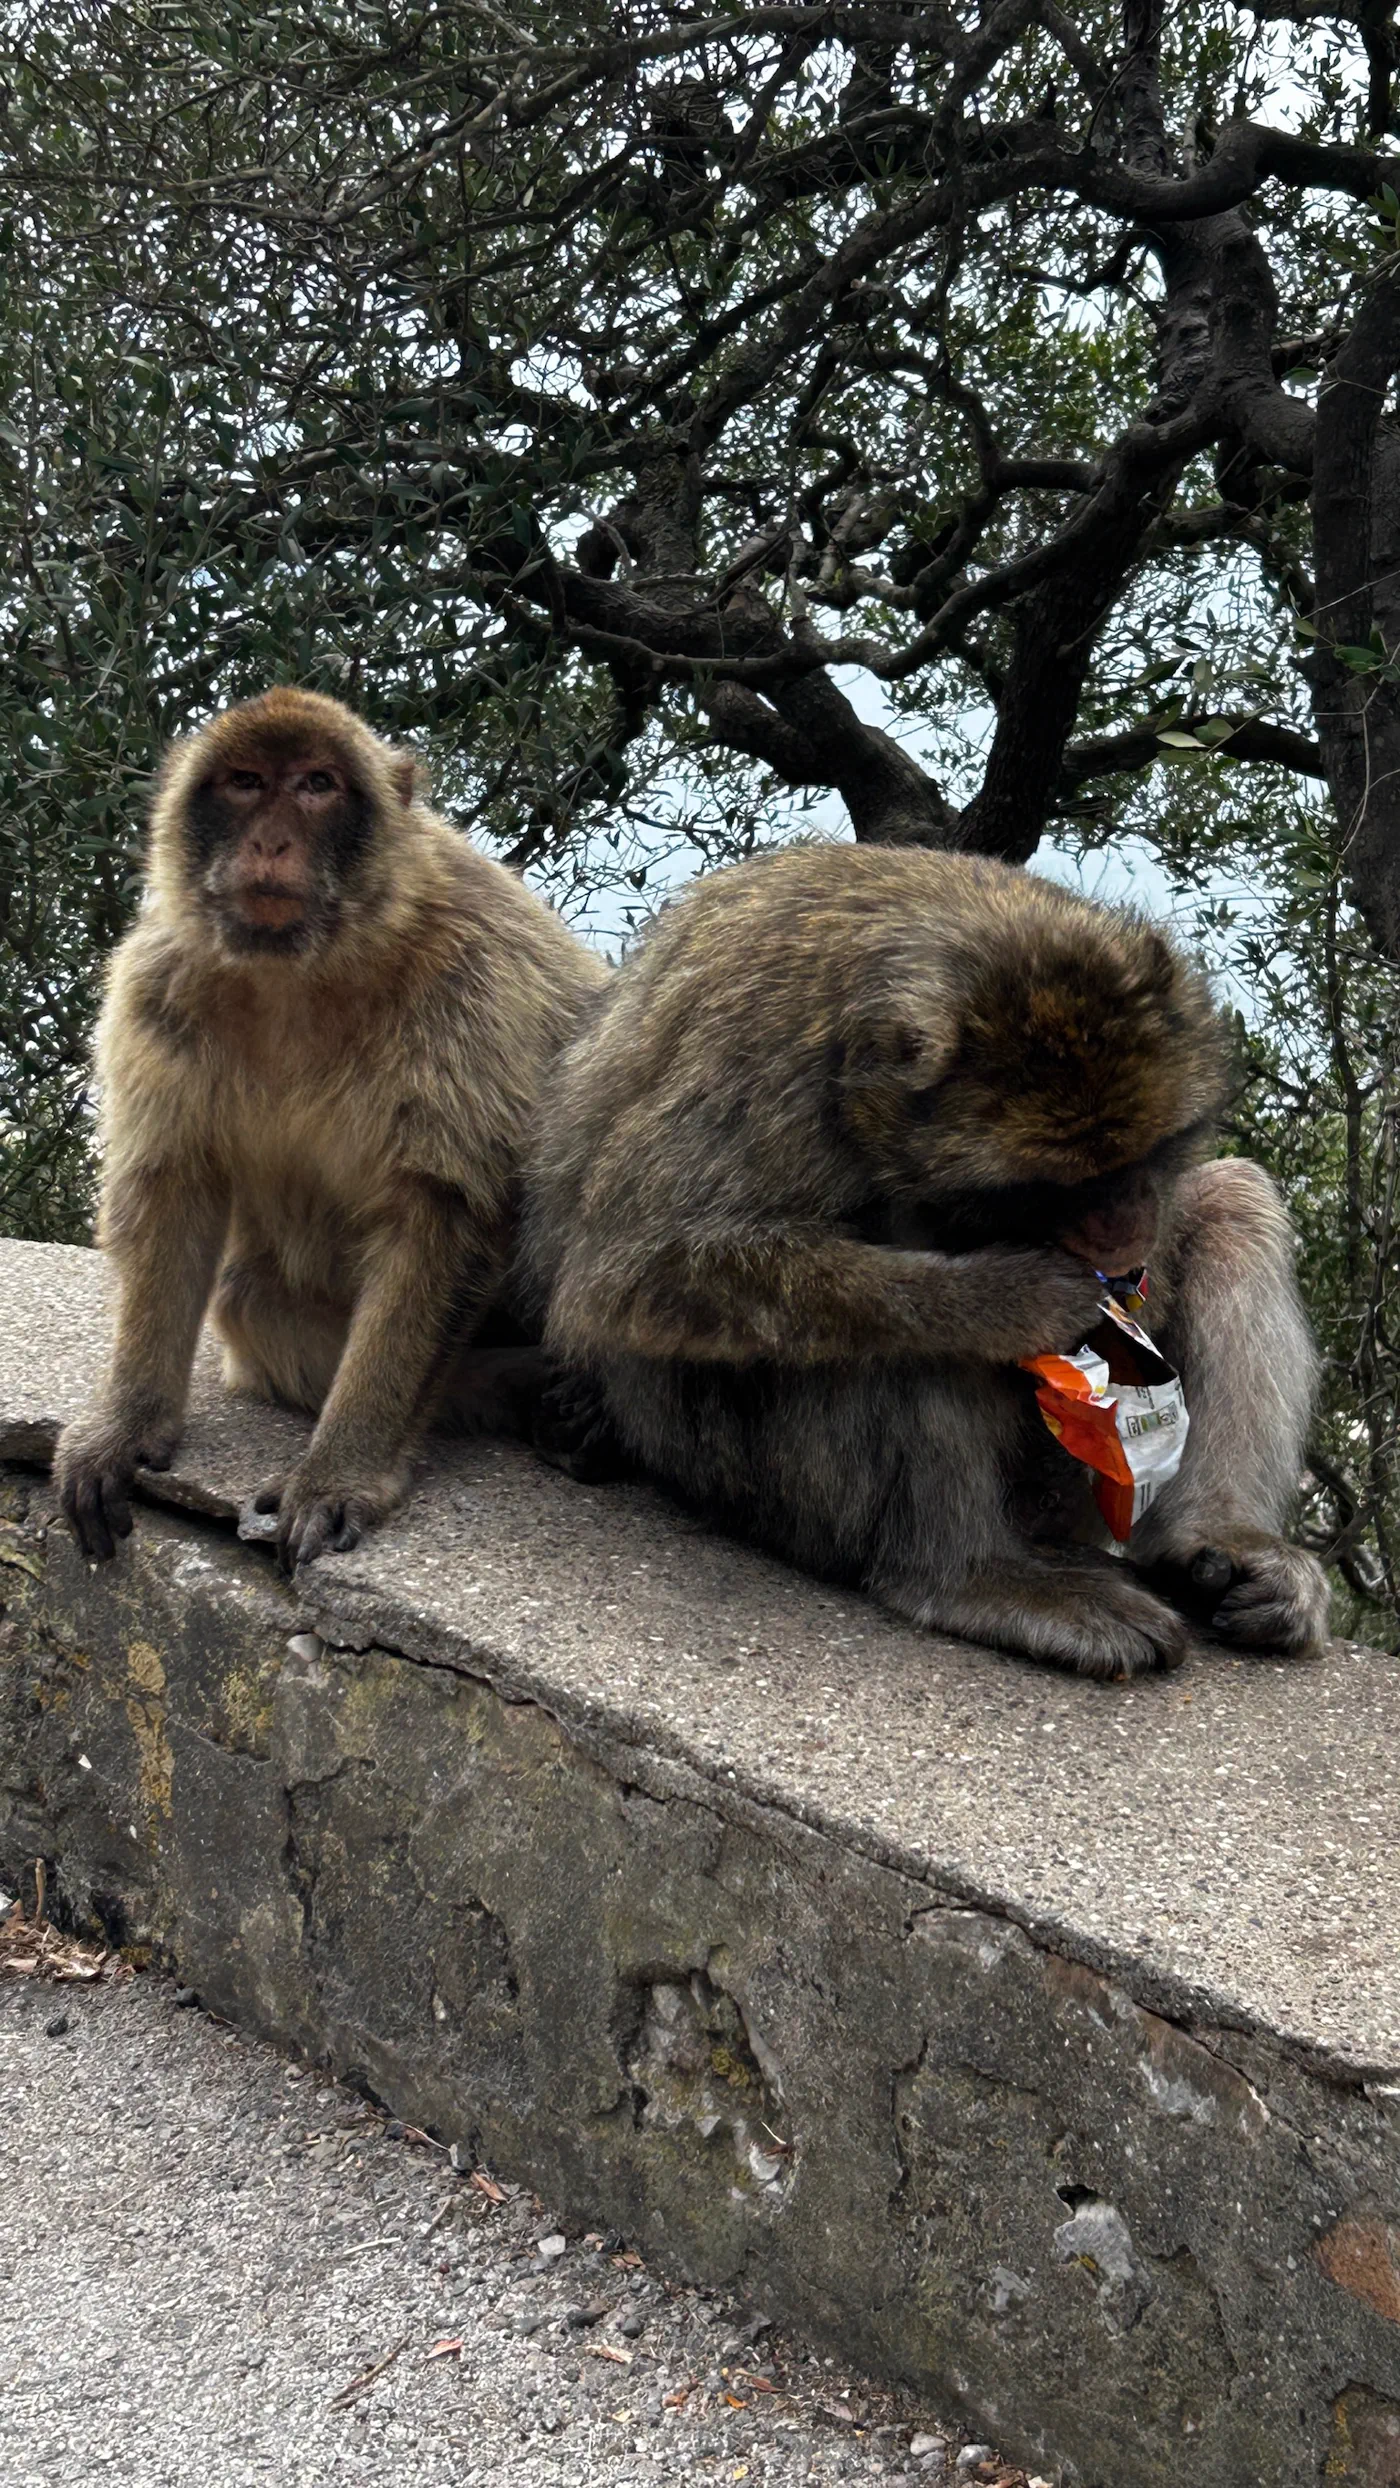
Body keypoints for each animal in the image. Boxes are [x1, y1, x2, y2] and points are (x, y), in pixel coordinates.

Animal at [54, 687, 609, 1572]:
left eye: (317, 784)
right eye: (246, 782)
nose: (271, 841)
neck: (300, 972)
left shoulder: (473, 972)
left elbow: (442, 1216)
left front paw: (341, 1472)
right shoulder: (158, 981)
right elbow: (172, 1186)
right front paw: (127, 1424)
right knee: (249, 1300)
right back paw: (522, 1398)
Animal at [522, 843, 1330, 1681]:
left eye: (1136, 1157)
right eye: (1050, 1187)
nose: (1125, 1227)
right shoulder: (759, 1062)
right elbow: (627, 1279)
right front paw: (1007, 1299)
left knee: (1234, 1202)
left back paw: (1214, 1544)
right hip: (735, 1465)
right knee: (894, 1322)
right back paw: (969, 1573)